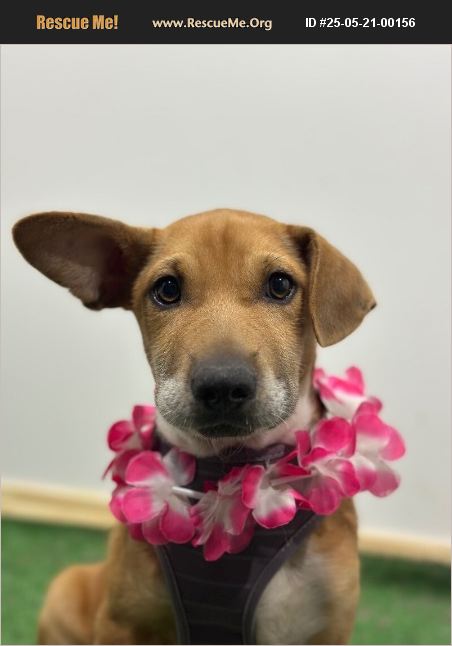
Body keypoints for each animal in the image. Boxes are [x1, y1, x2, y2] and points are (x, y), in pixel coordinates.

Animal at [13, 208, 376, 644]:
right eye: (167, 289)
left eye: (280, 284)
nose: (222, 386)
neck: (229, 465)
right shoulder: (122, 625)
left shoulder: (324, 629)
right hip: (64, 592)